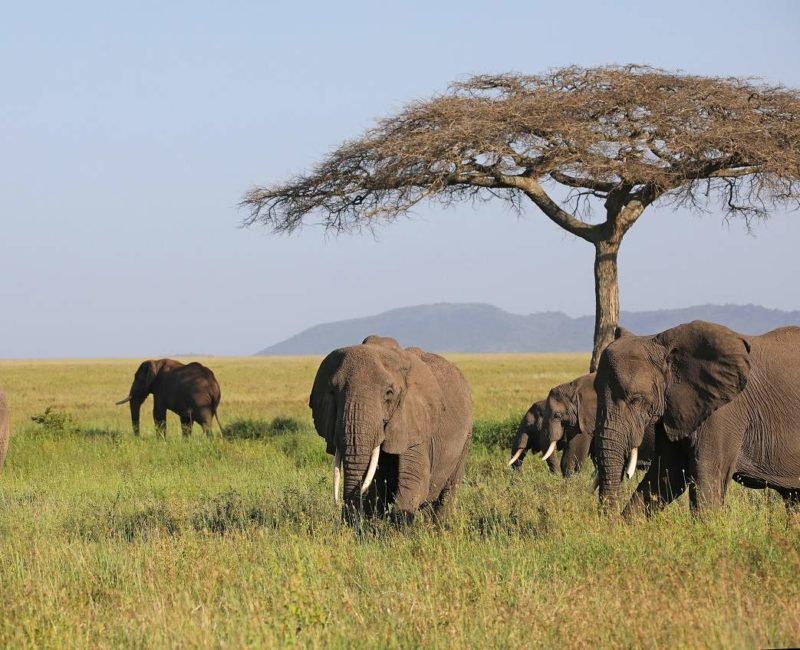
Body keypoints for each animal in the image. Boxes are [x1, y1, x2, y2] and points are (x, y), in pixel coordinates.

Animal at [310, 334, 472, 520]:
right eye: (333, 393)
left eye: (389, 394)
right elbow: (377, 485)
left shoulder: (413, 421)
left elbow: (415, 480)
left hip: (466, 439)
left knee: (449, 490)